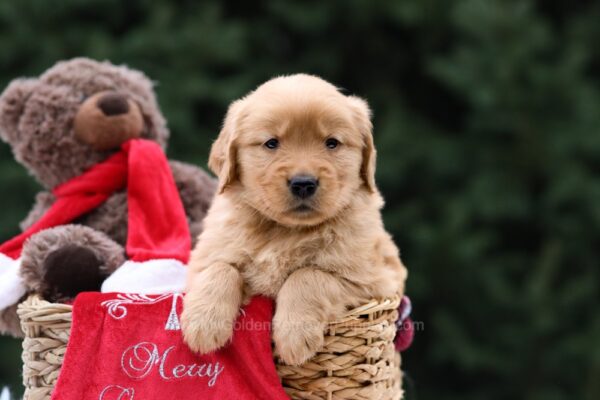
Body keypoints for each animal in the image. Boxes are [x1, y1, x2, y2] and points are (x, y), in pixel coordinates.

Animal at [182, 73, 408, 364]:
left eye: (332, 143)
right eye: (271, 143)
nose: (303, 183)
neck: (284, 231)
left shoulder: (375, 282)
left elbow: (308, 274)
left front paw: (294, 335)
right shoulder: (201, 258)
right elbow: (220, 267)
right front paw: (203, 324)